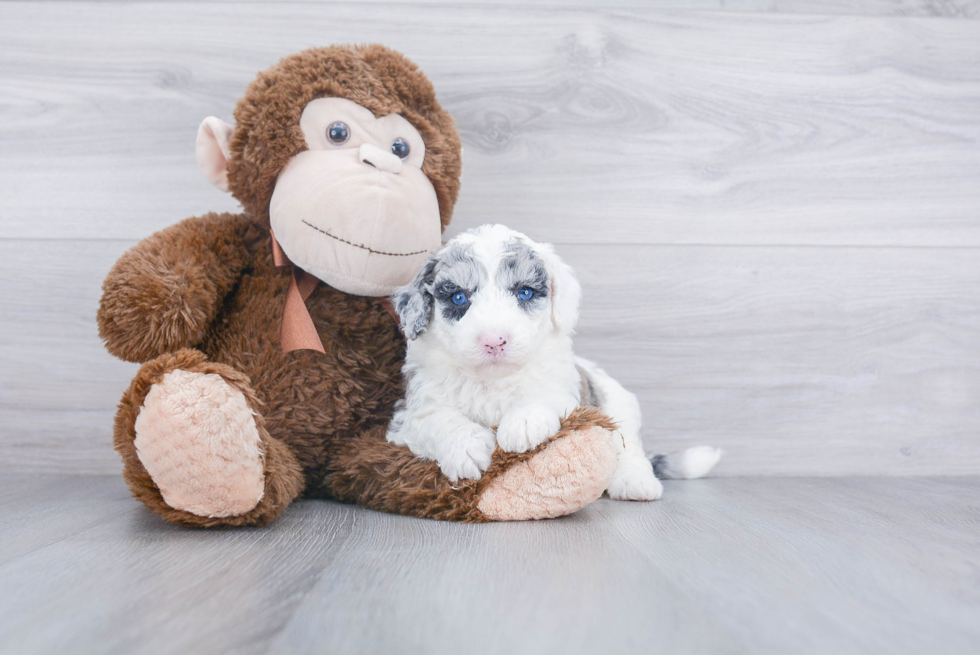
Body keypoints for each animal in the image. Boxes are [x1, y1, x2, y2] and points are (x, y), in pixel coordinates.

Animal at [384, 223, 720, 500]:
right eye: (458, 298)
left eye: (525, 292)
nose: (494, 341)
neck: (493, 380)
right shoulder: (412, 412)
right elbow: (439, 419)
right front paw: (466, 448)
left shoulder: (564, 386)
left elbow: (544, 395)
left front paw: (523, 422)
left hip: (620, 405)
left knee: (628, 447)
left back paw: (635, 481)